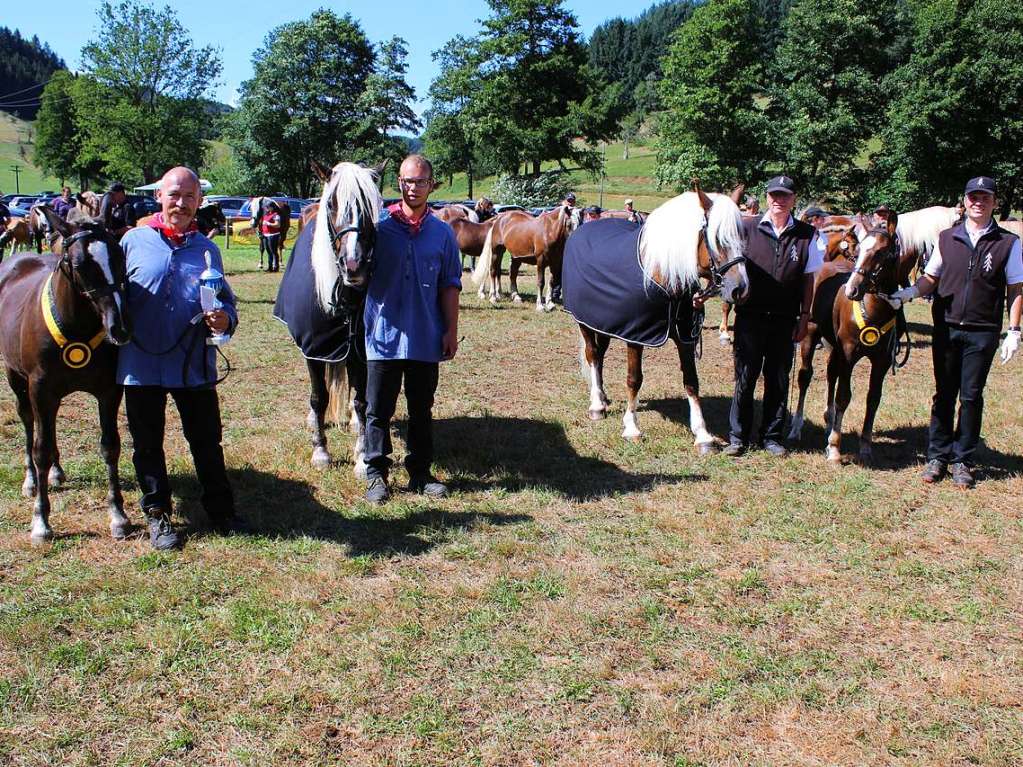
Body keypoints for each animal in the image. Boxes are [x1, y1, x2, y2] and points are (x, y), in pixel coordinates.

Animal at [0, 208, 132, 548]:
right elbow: (41, 450)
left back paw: (56, 473)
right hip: (17, 380)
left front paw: (118, 517)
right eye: (79, 263)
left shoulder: (108, 392)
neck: (77, 328)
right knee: (29, 423)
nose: (120, 327)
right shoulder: (40, 390)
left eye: (119, 257)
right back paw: (31, 480)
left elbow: (110, 446)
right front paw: (41, 522)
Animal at [564, 183, 748, 454]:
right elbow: (634, 379)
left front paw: (703, 436)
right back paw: (597, 405)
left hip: (605, 322)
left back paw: (604, 397)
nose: (740, 289)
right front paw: (631, 428)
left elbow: (691, 381)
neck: (663, 275)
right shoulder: (635, 336)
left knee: (600, 355)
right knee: (592, 354)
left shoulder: (685, 337)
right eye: (717, 238)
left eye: (743, 235)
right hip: (585, 323)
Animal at [785, 207, 900, 466]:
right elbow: (844, 396)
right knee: (805, 377)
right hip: (810, 336)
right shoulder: (848, 353)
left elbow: (872, 399)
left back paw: (829, 423)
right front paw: (835, 449)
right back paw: (796, 428)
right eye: (860, 248)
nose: (852, 289)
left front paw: (865, 448)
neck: (874, 311)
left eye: (881, 251)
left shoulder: (881, 361)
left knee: (830, 374)